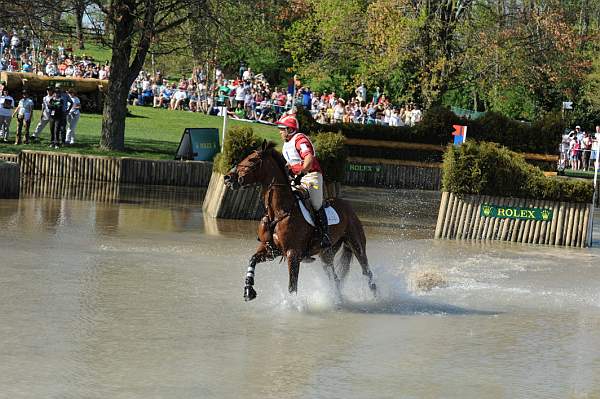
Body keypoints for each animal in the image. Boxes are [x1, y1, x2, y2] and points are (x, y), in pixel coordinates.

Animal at [223, 142, 378, 302]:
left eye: (252, 160)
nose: (228, 178)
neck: (279, 212)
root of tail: (349, 207)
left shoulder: (293, 254)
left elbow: (292, 286)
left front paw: (293, 304)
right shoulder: (270, 249)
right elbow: (252, 259)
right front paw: (248, 290)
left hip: (356, 245)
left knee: (367, 272)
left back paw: (376, 299)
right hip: (326, 255)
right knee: (334, 278)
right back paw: (338, 299)